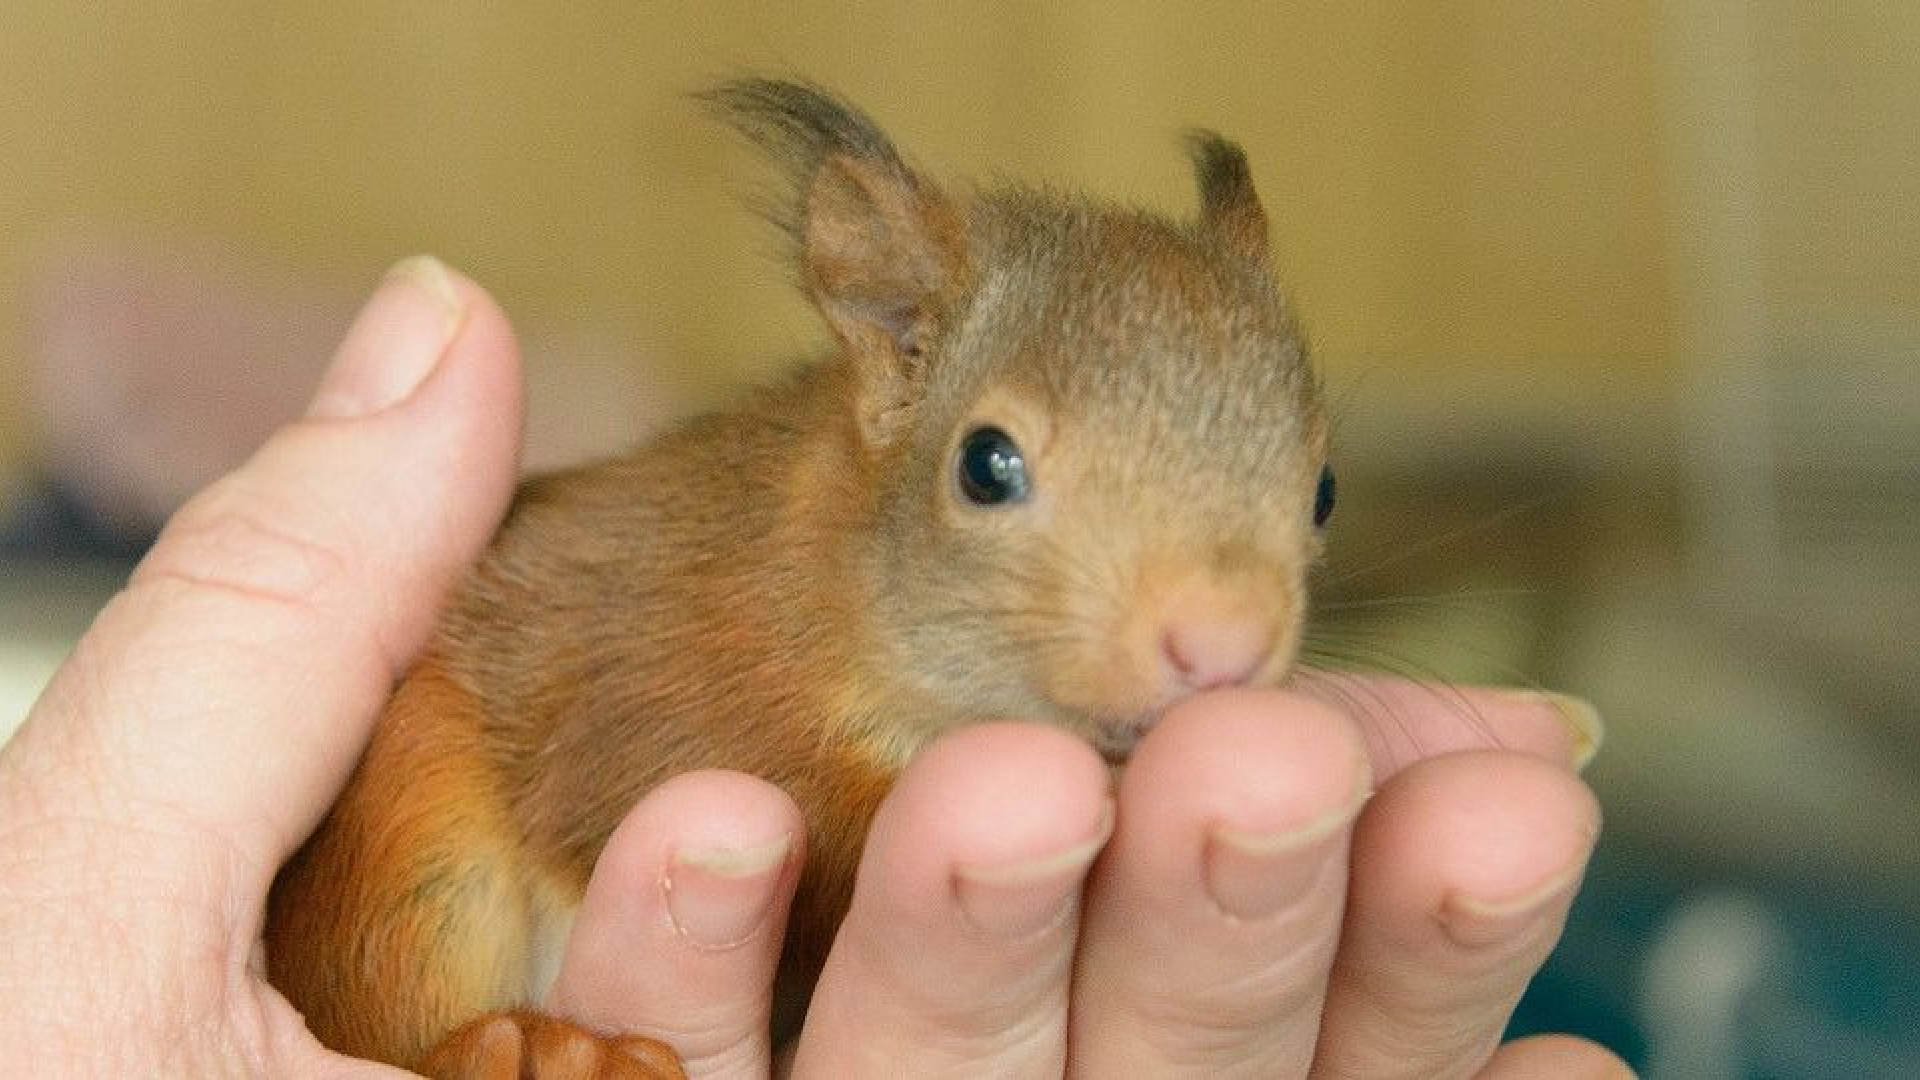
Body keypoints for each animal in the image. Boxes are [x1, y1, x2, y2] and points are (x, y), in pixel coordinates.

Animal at [265, 78, 1333, 1079]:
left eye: (1323, 490)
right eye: (985, 465)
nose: (1224, 645)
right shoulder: (669, 688)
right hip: (411, 842)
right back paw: (536, 1047)